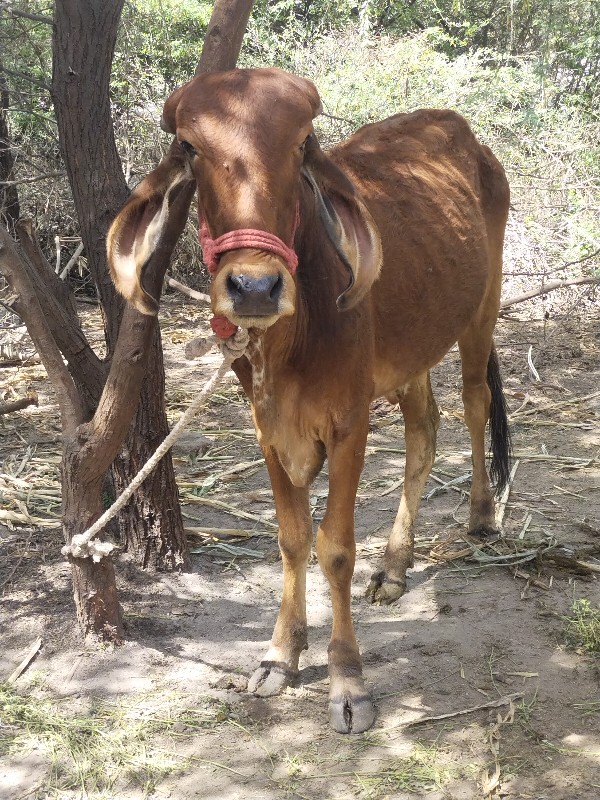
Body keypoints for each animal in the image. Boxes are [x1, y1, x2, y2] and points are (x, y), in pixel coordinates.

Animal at [108, 67, 510, 732]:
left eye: (302, 145)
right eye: (189, 147)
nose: (254, 287)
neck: (289, 343)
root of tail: (466, 136)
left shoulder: (348, 424)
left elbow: (336, 550)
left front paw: (347, 680)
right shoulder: (268, 429)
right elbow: (292, 539)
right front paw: (280, 654)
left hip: (482, 309)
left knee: (476, 406)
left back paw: (481, 514)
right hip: (411, 352)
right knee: (424, 433)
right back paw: (395, 565)